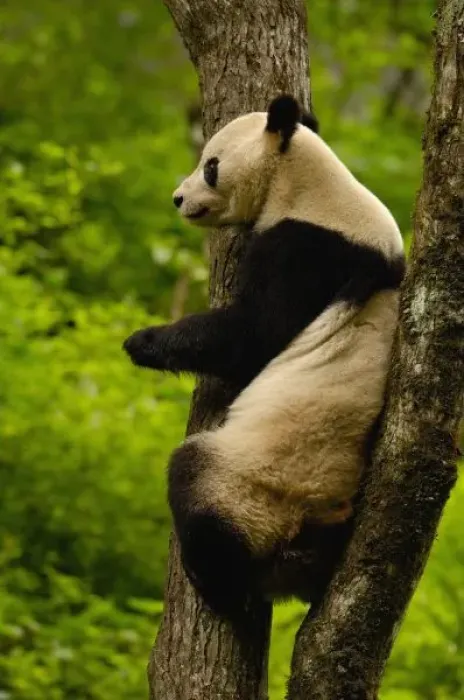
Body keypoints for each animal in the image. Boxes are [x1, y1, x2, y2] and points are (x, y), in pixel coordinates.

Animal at [123, 95, 405, 615]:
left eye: (210, 166)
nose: (177, 198)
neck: (307, 183)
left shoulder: (305, 249)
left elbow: (252, 332)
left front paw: (142, 342)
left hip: (259, 480)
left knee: (194, 478)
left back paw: (219, 581)